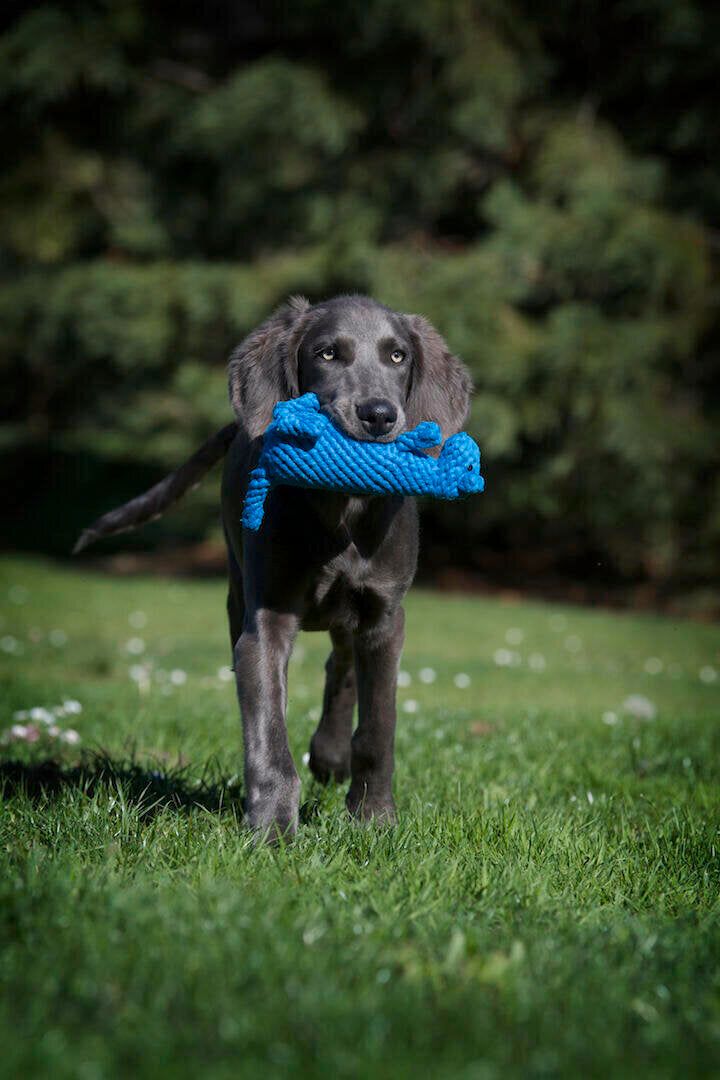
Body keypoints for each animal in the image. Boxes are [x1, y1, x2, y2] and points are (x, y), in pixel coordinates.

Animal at [76, 293, 474, 833]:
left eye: (398, 356)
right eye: (327, 353)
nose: (378, 415)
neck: (342, 506)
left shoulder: (384, 617)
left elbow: (378, 726)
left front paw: (373, 816)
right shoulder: (266, 617)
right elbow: (267, 724)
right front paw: (272, 828)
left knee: (341, 664)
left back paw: (331, 754)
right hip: (237, 588)